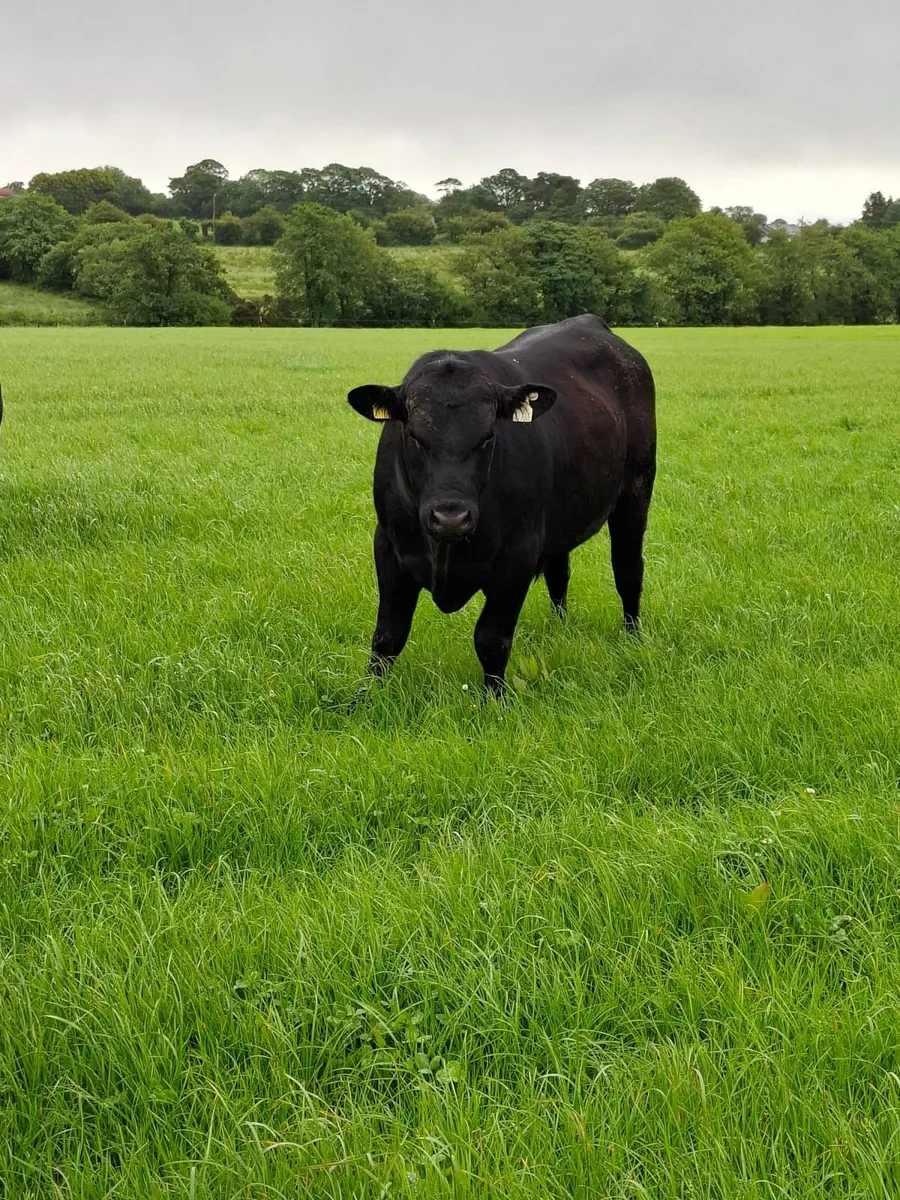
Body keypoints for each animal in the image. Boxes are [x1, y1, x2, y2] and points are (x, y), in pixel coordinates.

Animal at [348, 313, 656, 695]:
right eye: (414, 435)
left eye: (488, 436)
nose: (451, 517)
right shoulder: (388, 548)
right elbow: (388, 636)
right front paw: (368, 696)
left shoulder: (517, 558)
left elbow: (491, 639)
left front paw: (494, 699)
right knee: (559, 573)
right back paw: (558, 629)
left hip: (636, 492)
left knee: (627, 569)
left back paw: (632, 639)